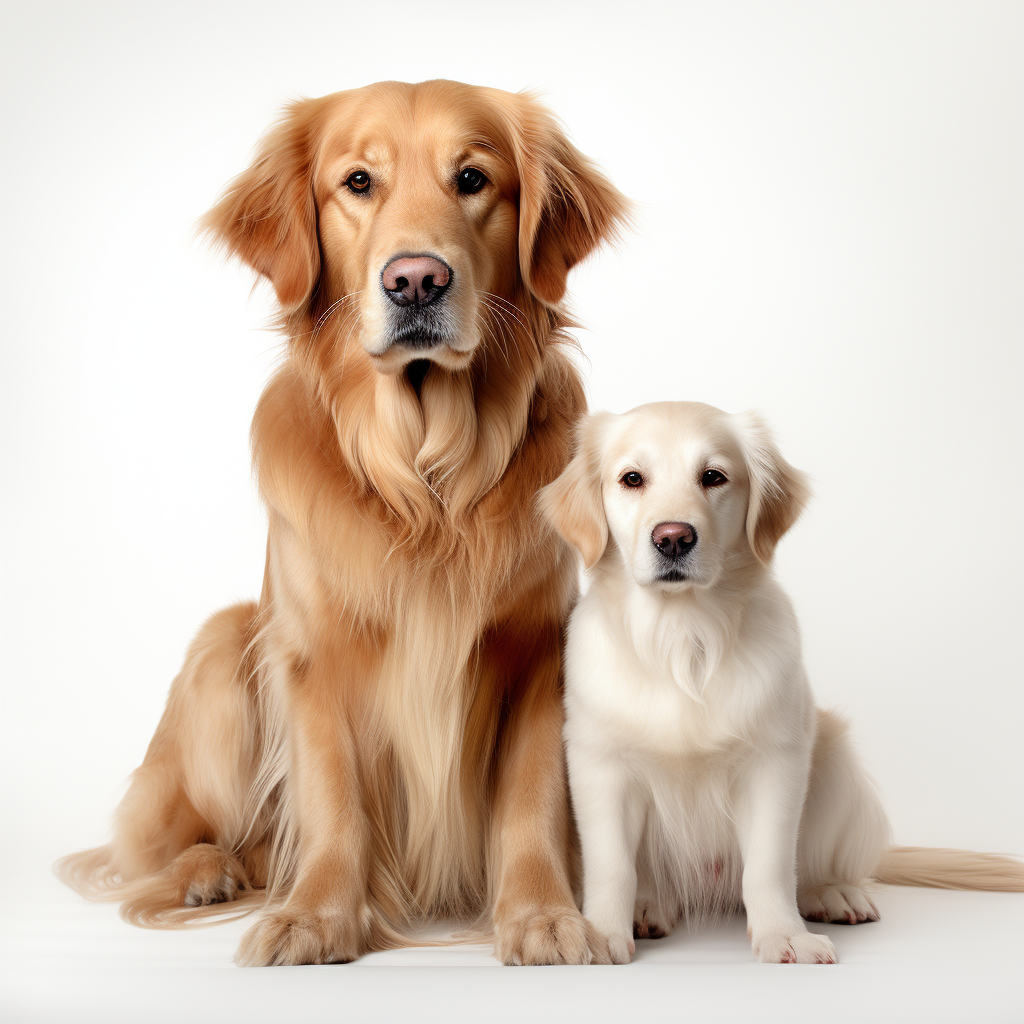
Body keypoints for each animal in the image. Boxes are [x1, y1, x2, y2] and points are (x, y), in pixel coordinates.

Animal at [540, 403, 1019, 962]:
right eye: (631, 479)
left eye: (714, 476)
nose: (674, 538)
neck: (685, 638)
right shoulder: (600, 765)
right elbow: (613, 865)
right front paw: (602, 935)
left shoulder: (775, 761)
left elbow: (769, 864)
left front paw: (783, 936)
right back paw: (649, 906)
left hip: (835, 759)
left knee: (812, 865)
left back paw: (831, 892)